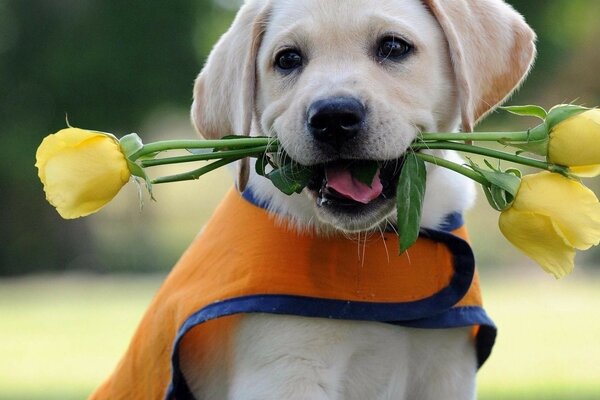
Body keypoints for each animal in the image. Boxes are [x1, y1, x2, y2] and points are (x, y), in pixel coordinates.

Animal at [89, 0, 536, 400]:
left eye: (394, 47)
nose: (333, 117)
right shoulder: (285, 371)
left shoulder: (447, 369)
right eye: (287, 59)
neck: (371, 246)